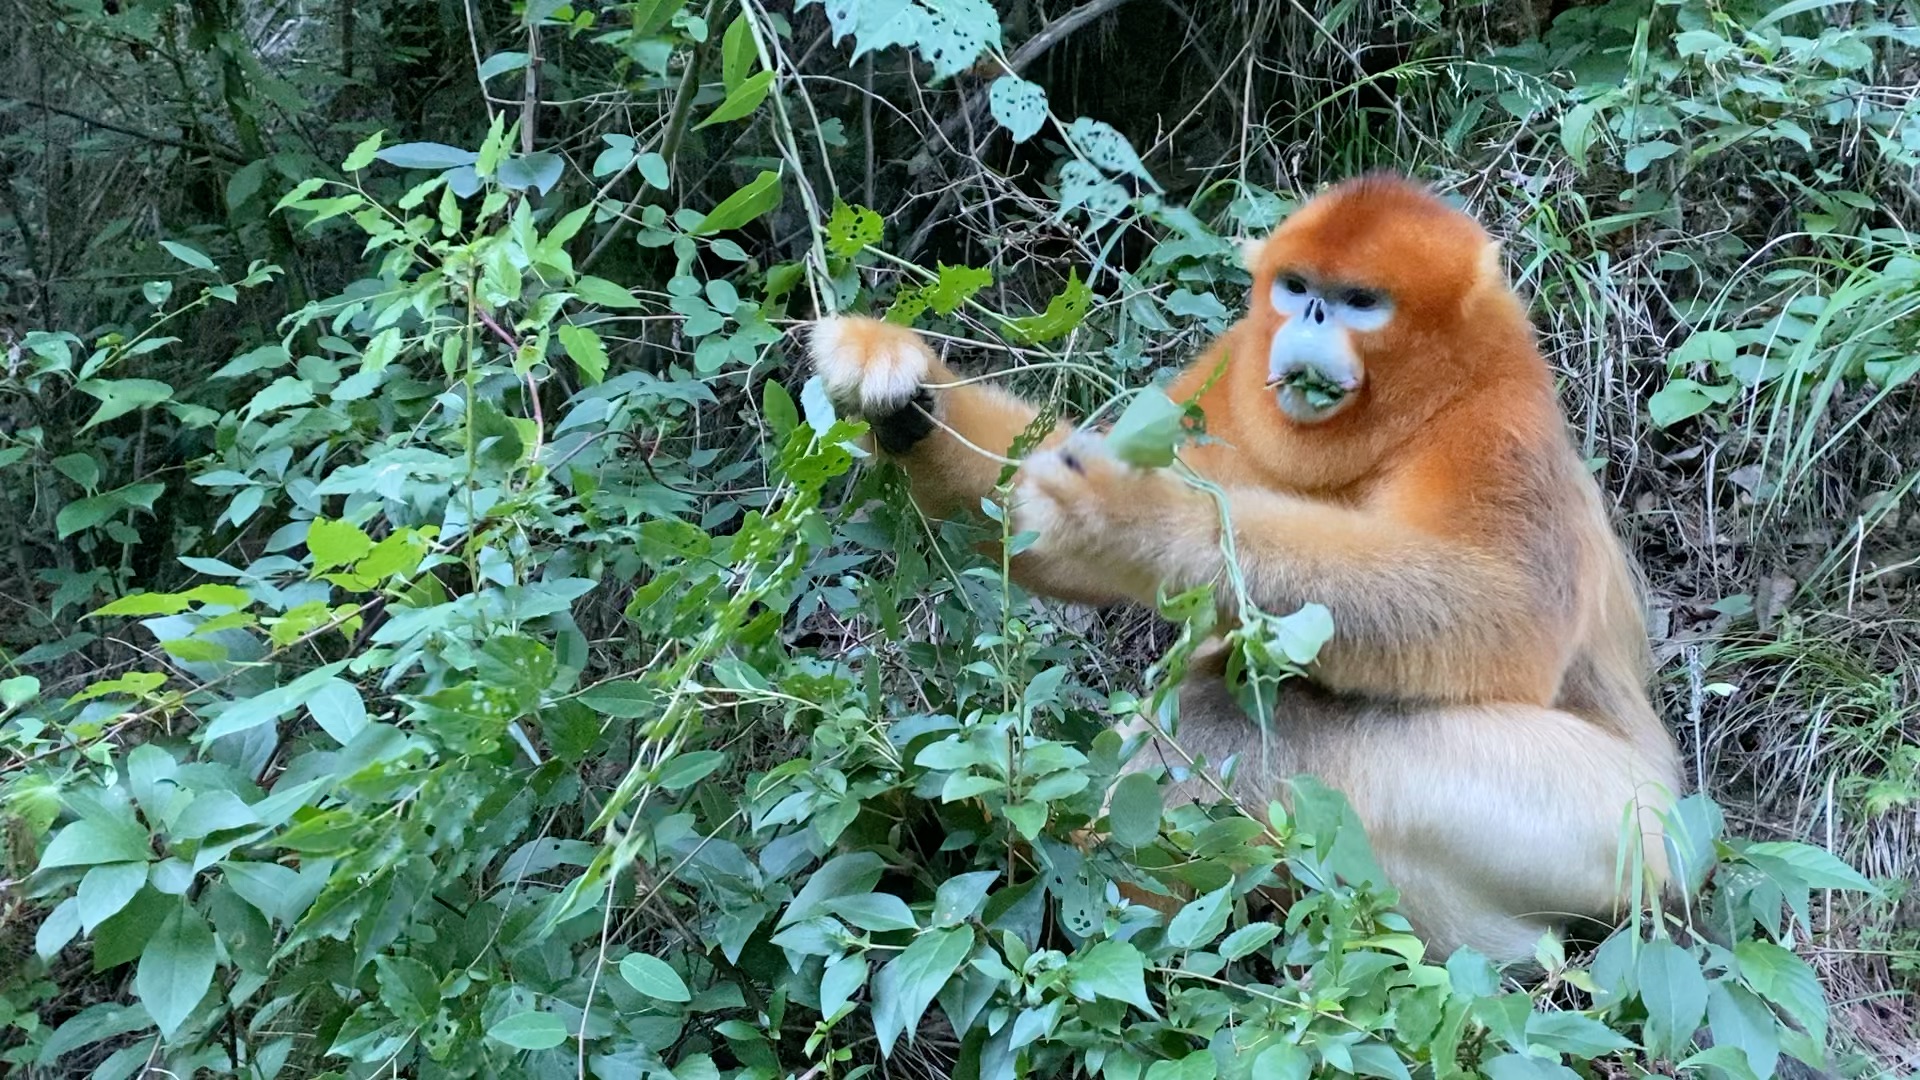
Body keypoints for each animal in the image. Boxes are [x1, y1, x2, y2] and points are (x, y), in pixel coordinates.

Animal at [806, 171, 1681, 960]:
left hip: (1614, 827)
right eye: (1298, 289)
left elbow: (1507, 618)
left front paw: (1135, 521)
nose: (1315, 314)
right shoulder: (1232, 368)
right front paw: (892, 376)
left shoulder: (1499, 423)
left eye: (1359, 301)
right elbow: (1032, 522)